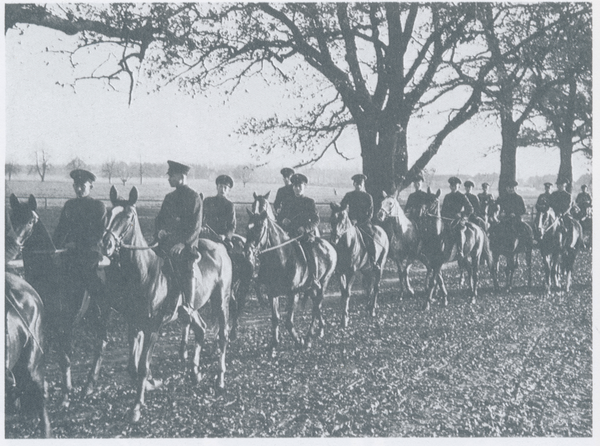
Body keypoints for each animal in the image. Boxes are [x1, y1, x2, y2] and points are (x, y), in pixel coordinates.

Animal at [102, 186, 233, 424]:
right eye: (109, 213)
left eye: (128, 216)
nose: (106, 244)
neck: (145, 272)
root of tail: (220, 247)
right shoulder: (133, 325)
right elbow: (132, 367)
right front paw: (150, 385)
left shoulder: (152, 328)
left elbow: (143, 367)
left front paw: (136, 407)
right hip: (191, 310)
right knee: (201, 330)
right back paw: (195, 372)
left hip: (221, 301)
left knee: (222, 336)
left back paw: (219, 380)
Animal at [244, 204, 338, 354]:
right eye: (247, 228)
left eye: (260, 228)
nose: (247, 252)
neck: (282, 258)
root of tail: (329, 246)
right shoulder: (272, 293)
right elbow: (275, 318)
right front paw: (273, 345)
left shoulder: (293, 293)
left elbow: (288, 322)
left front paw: (299, 341)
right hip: (311, 287)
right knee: (316, 305)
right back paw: (320, 328)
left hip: (324, 282)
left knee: (316, 306)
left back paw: (309, 337)